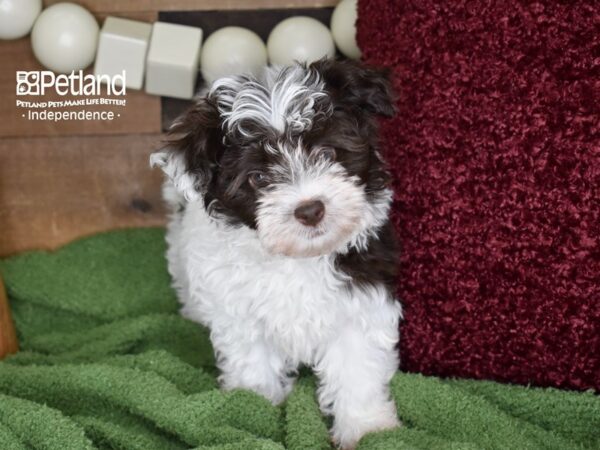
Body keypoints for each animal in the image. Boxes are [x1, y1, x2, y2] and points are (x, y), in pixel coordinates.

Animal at [151, 59, 404, 450]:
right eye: (257, 177)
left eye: (327, 154)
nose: (310, 209)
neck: (297, 257)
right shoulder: (240, 313)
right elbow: (253, 364)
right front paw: (252, 414)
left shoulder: (360, 300)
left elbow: (357, 368)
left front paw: (367, 428)